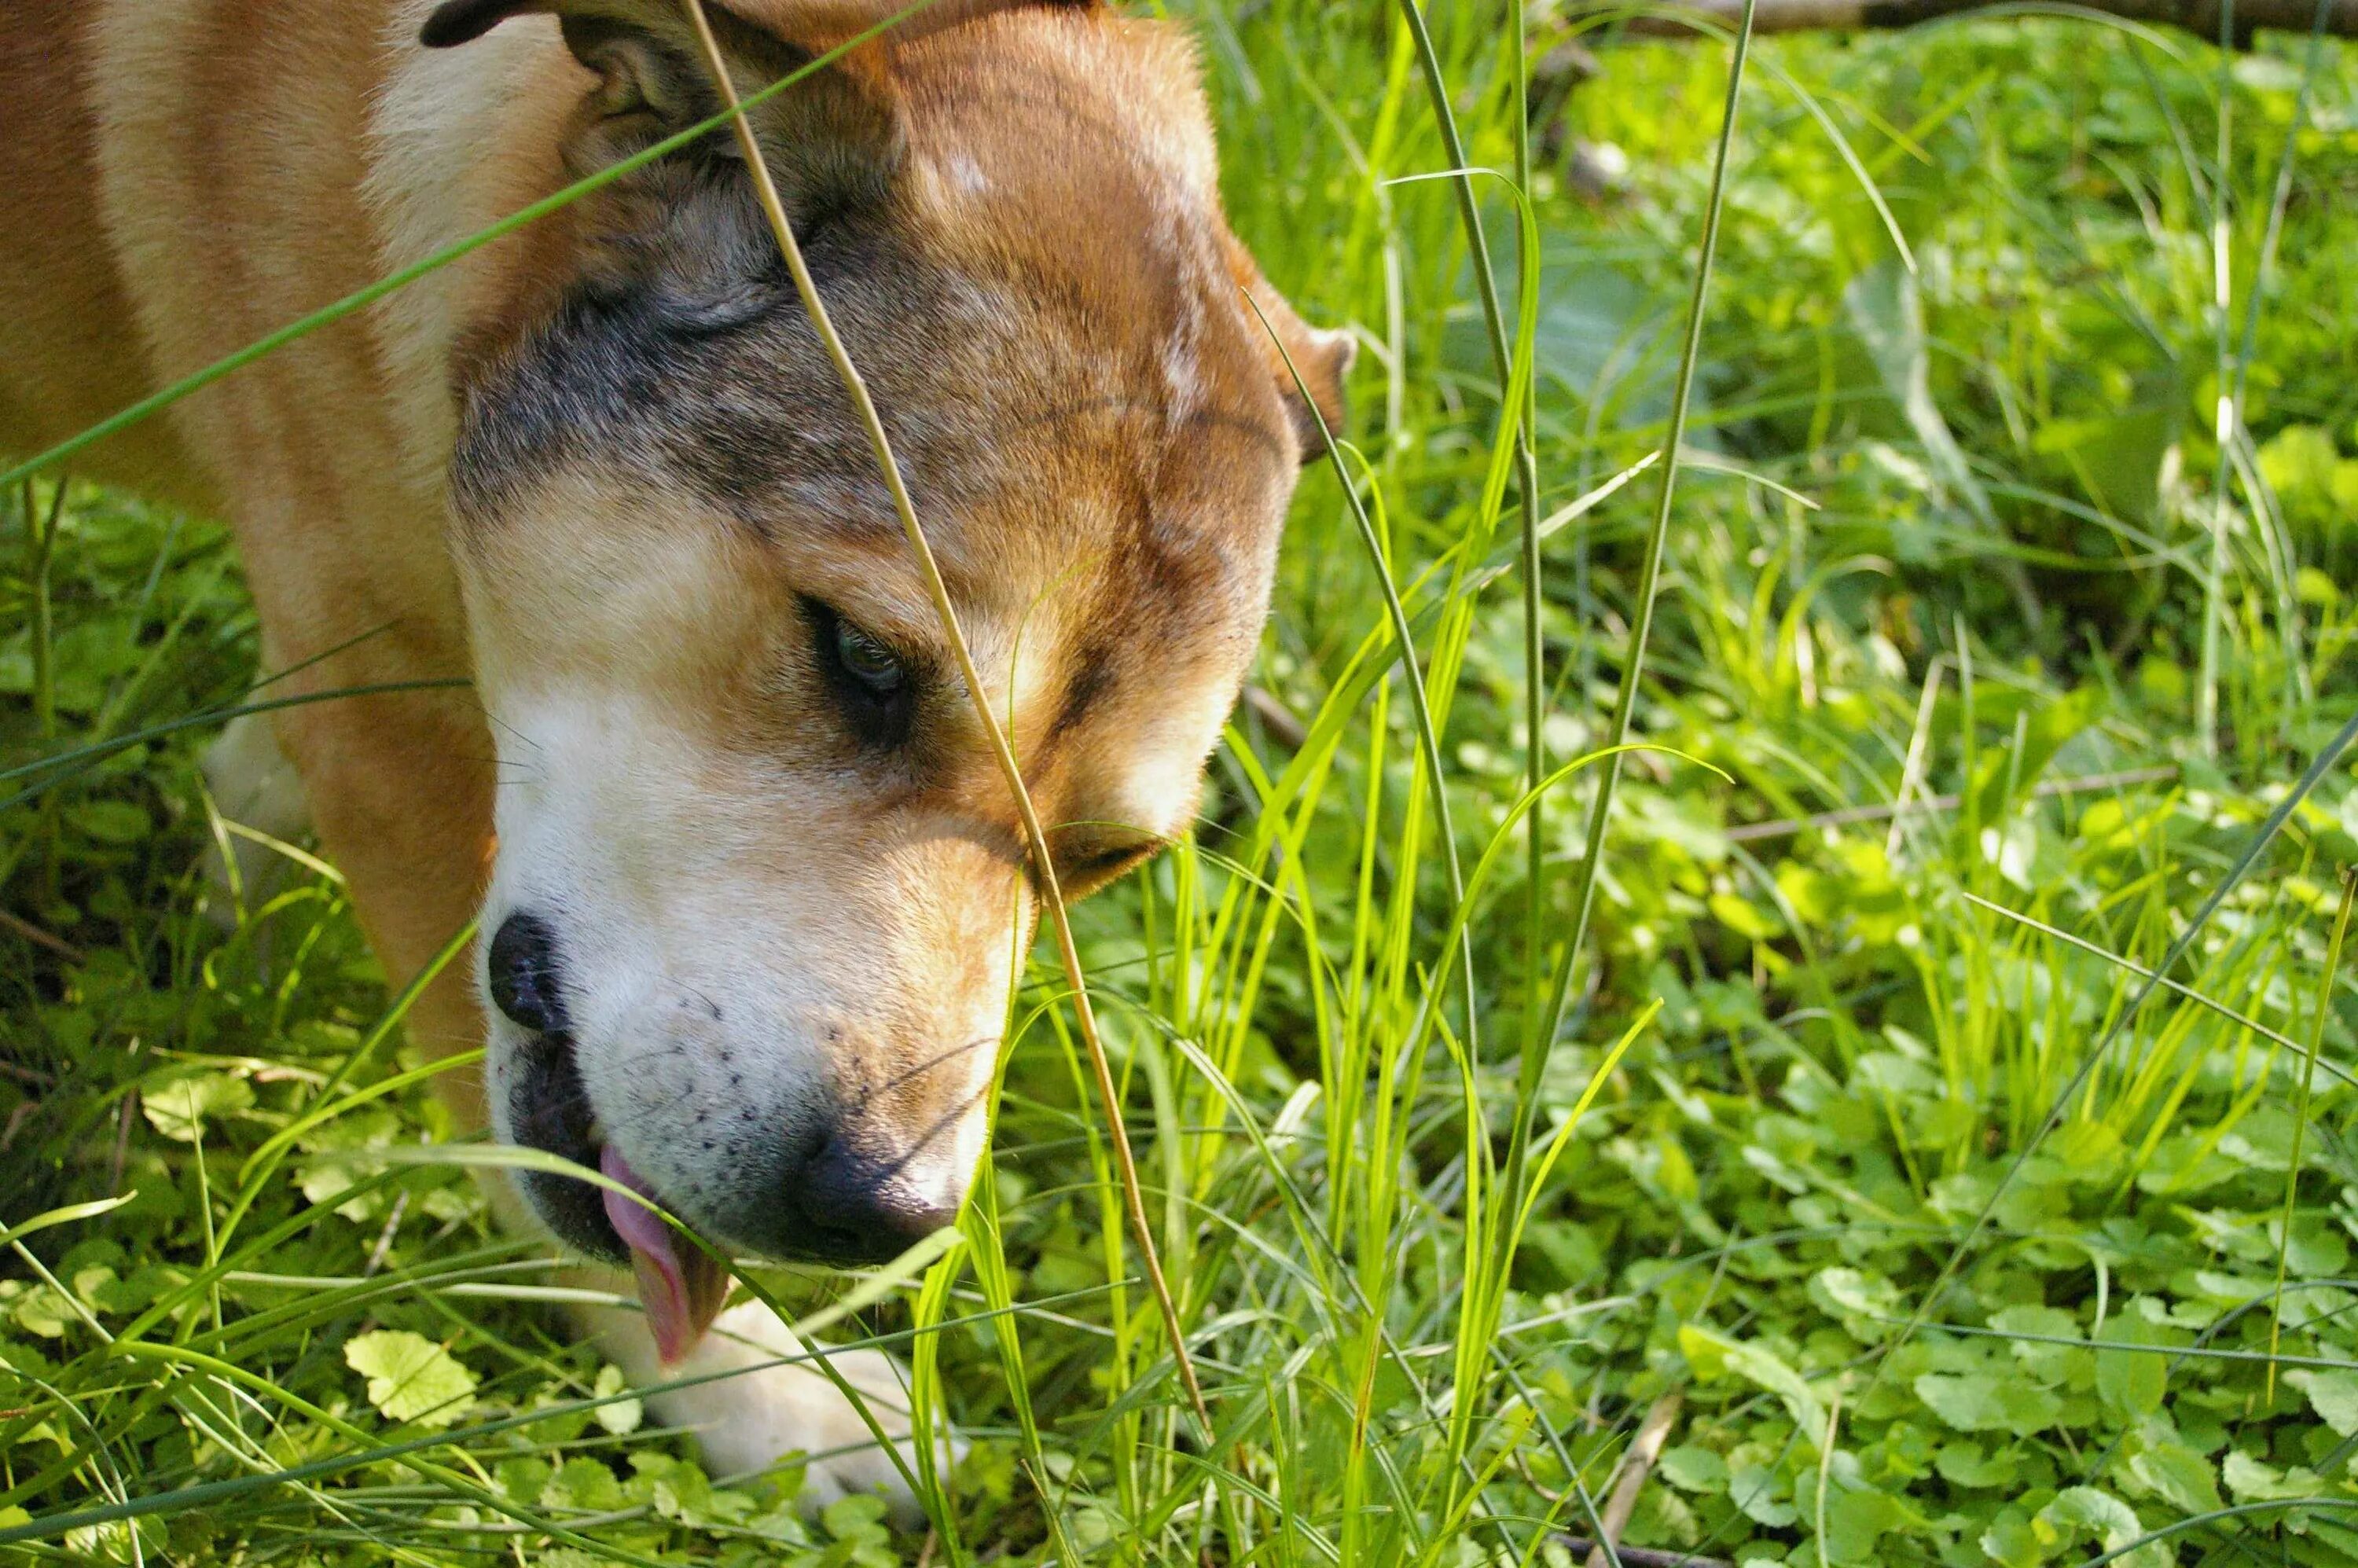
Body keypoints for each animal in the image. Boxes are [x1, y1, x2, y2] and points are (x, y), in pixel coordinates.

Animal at [0, 0, 1349, 1509]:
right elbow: (510, 1141)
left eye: (1104, 858)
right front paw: (753, 1391)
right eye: (861, 656)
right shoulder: (400, 757)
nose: (883, 1215)